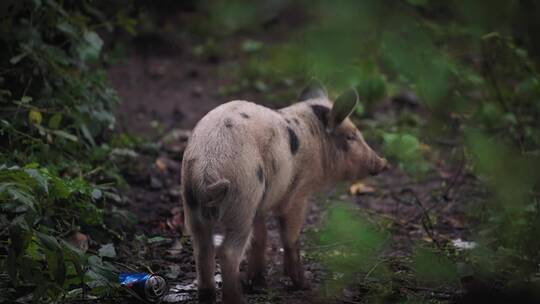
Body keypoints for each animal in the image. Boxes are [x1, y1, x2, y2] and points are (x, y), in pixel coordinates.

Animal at [181, 81, 388, 304]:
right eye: (351, 136)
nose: (383, 163)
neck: (316, 141)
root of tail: (207, 168)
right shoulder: (298, 193)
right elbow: (290, 238)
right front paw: (305, 286)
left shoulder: (262, 203)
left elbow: (261, 237)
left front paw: (257, 283)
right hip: (243, 200)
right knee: (228, 252)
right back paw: (238, 298)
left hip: (192, 204)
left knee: (203, 249)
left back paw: (208, 297)